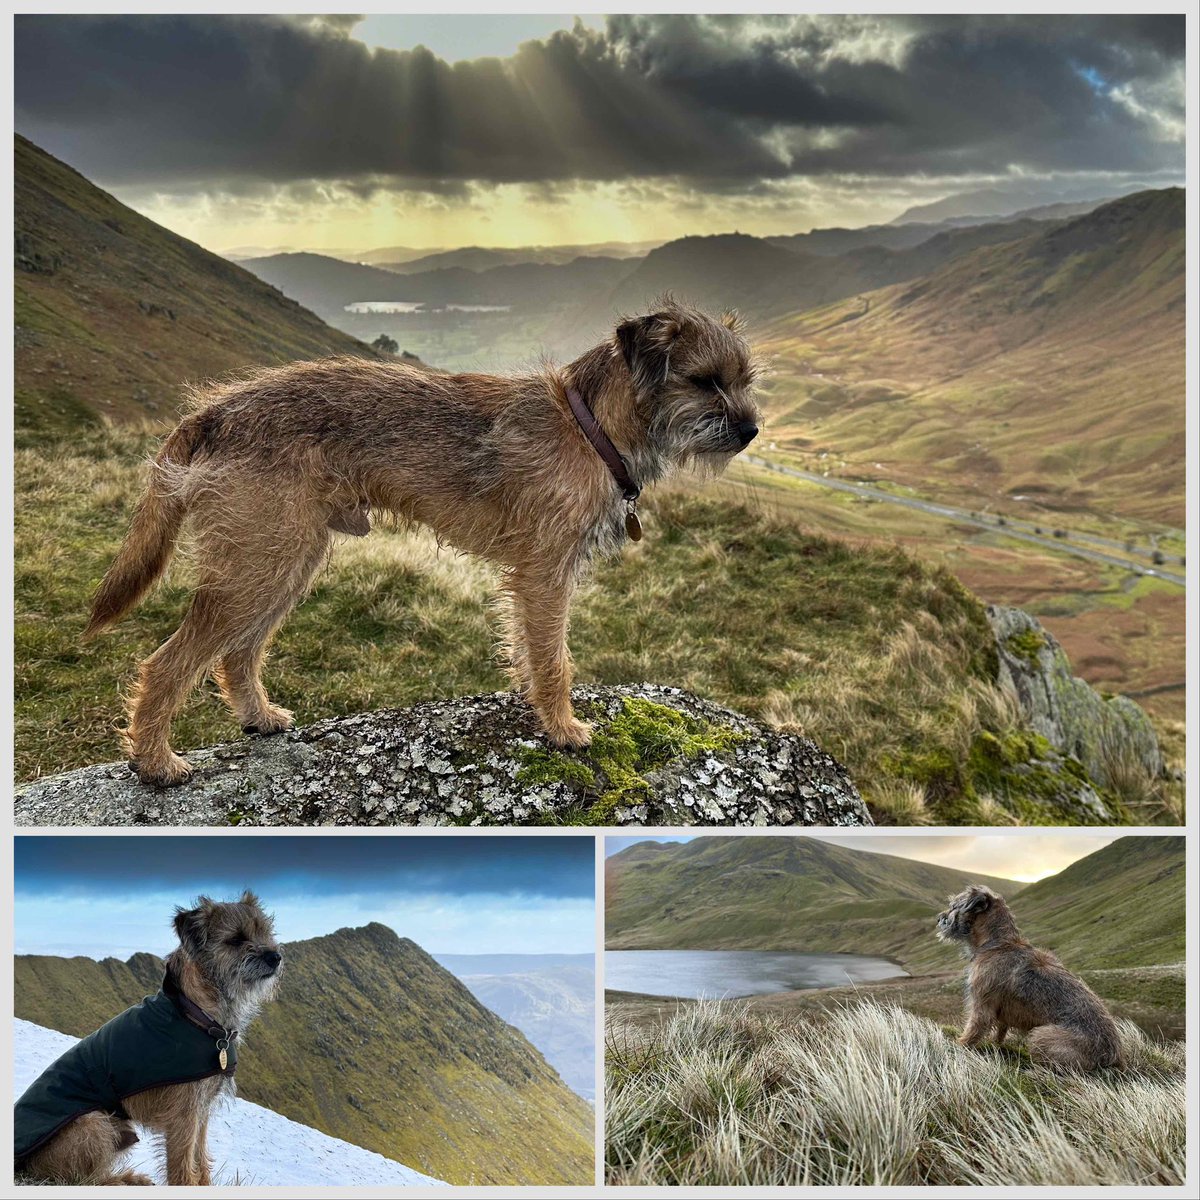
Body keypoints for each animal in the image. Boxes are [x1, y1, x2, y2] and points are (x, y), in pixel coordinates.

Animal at [15, 888, 280, 1185]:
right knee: (82, 1179)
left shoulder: (201, 1111)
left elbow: (200, 1159)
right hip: (93, 1122)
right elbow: (183, 1167)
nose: (274, 956)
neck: (195, 1013)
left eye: (266, 932)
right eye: (235, 939)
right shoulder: (183, 1116)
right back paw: (126, 1180)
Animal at [84, 297, 758, 787]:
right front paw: (563, 728)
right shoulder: (544, 575)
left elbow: (529, 651)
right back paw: (155, 763)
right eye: (703, 381)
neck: (591, 426)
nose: (752, 430)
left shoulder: (534, 580)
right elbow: (554, 657)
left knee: (236, 653)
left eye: (744, 381)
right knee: (168, 662)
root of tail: (217, 411)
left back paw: (257, 718)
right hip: (260, 563)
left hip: (287, 561)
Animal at [936, 888, 1123, 1075]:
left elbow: (973, 1030)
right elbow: (1000, 1031)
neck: (998, 943)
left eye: (953, 906)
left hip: (1041, 1035)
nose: (938, 918)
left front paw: (958, 1045)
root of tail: (1111, 1059)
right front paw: (995, 1044)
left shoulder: (982, 1005)